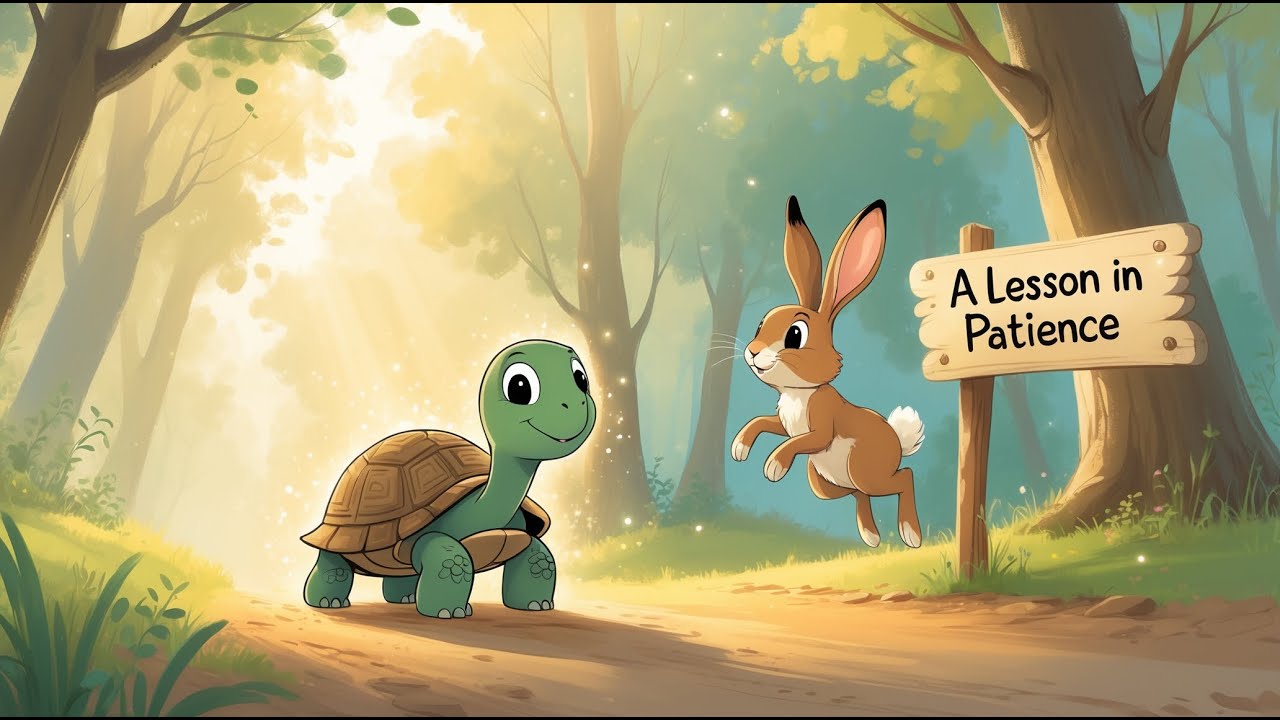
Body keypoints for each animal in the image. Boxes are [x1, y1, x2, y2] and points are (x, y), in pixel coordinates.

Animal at [730, 196, 925, 549]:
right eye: (760, 324)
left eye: (795, 335)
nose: (751, 352)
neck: (800, 393)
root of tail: (898, 443)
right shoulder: (785, 423)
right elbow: (762, 421)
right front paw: (739, 447)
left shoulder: (820, 425)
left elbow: (803, 440)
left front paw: (774, 465)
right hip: (821, 483)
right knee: (858, 494)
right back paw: (870, 535)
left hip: (865, 469)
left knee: (905, 477)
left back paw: (911, 533)